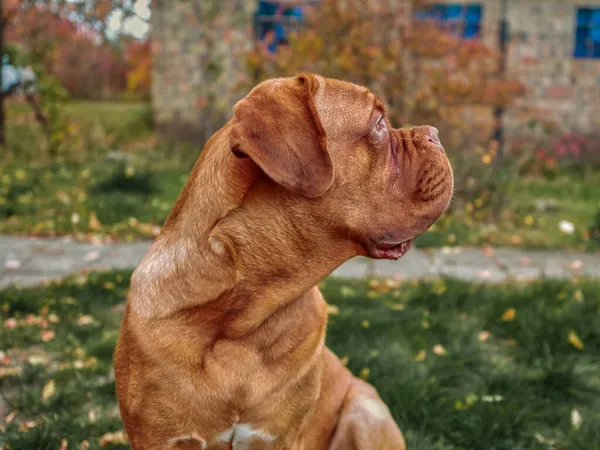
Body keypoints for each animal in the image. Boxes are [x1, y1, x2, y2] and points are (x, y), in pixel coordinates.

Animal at [113, 74, 450, 450]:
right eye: (378, 124)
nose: (435, 133)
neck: (243, 322)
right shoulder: (159, 438)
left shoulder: (280, 437)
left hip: (364, 411)